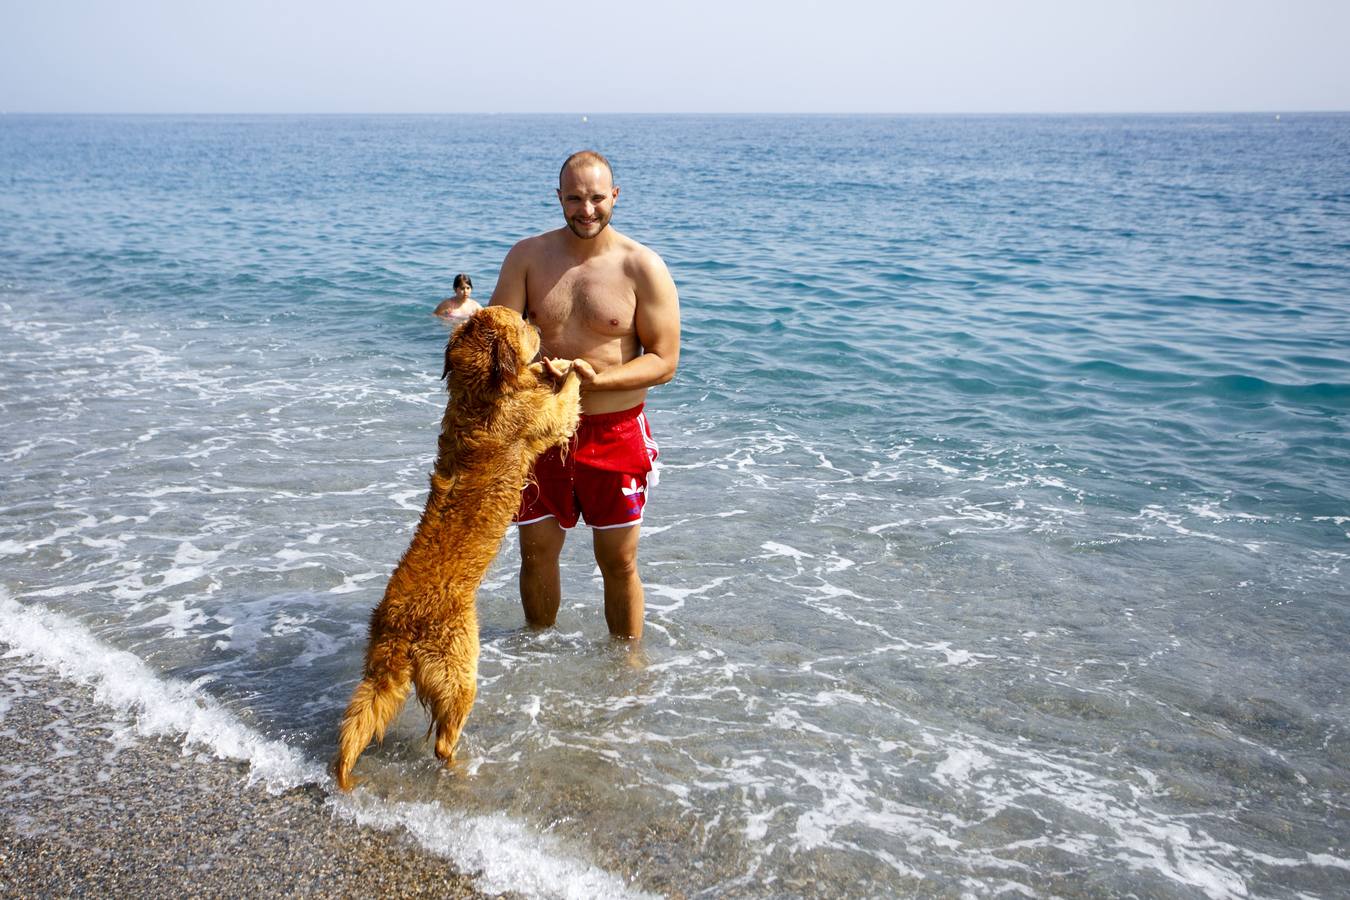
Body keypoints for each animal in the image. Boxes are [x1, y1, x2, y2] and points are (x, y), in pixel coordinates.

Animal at [332, 306, 580, 793]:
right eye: (522, 323)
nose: (538, 322)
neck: (479, 391)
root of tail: (399, 627)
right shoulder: (544, 418)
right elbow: (565, 400)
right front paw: (572, 368)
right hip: (459, 667)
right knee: (444, 739)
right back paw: (465, 764)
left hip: (377, 672)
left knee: (361, 714)